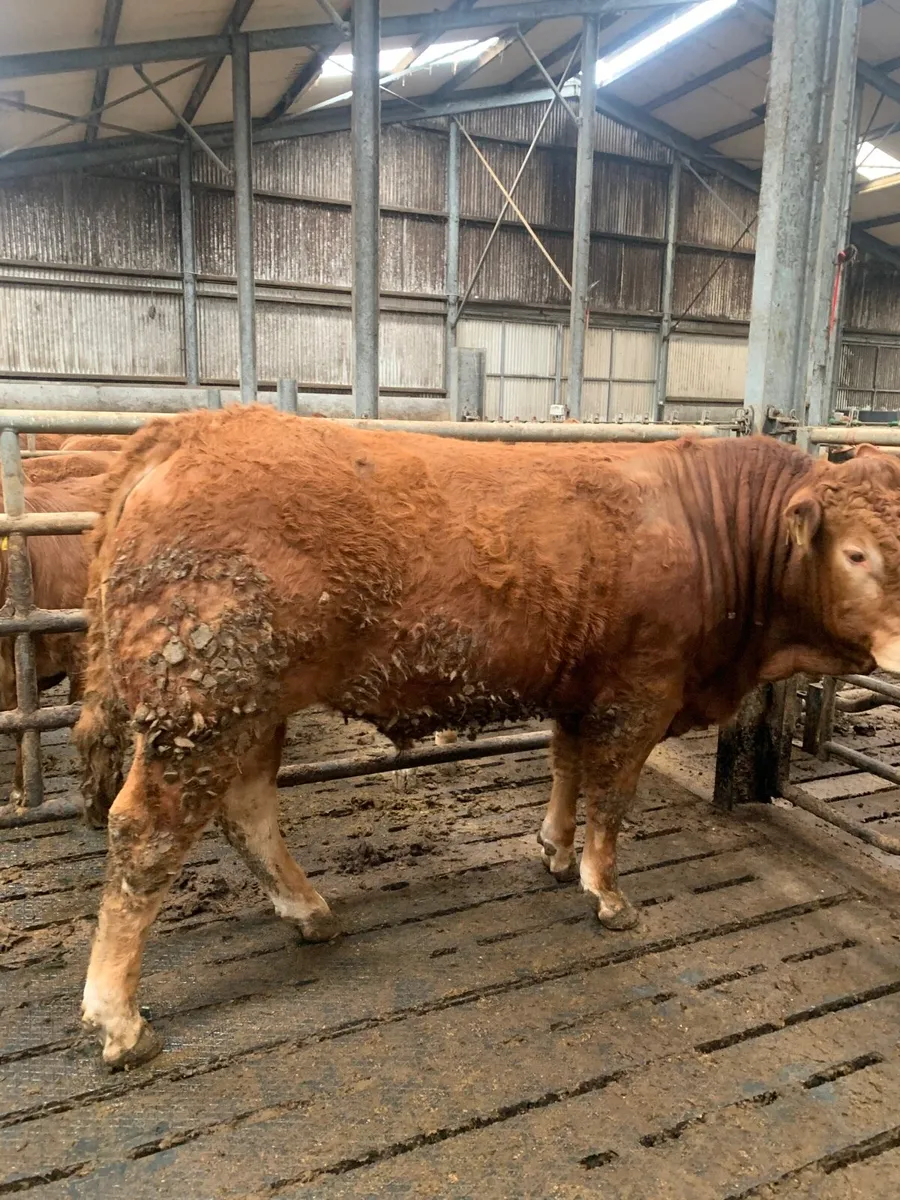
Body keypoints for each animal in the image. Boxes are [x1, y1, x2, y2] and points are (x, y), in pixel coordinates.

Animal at [73, 407, 900, 1069]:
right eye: (857, 552)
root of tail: (185, 429)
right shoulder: (640, 693)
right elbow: (612, 796)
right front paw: (607, 893)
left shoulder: (580, 689)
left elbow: (565, 766)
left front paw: (555, 849)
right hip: (205, 709)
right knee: (145, 833)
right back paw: (121, 1019)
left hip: (251, 708)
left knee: (247, 813)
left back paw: (310, 914)